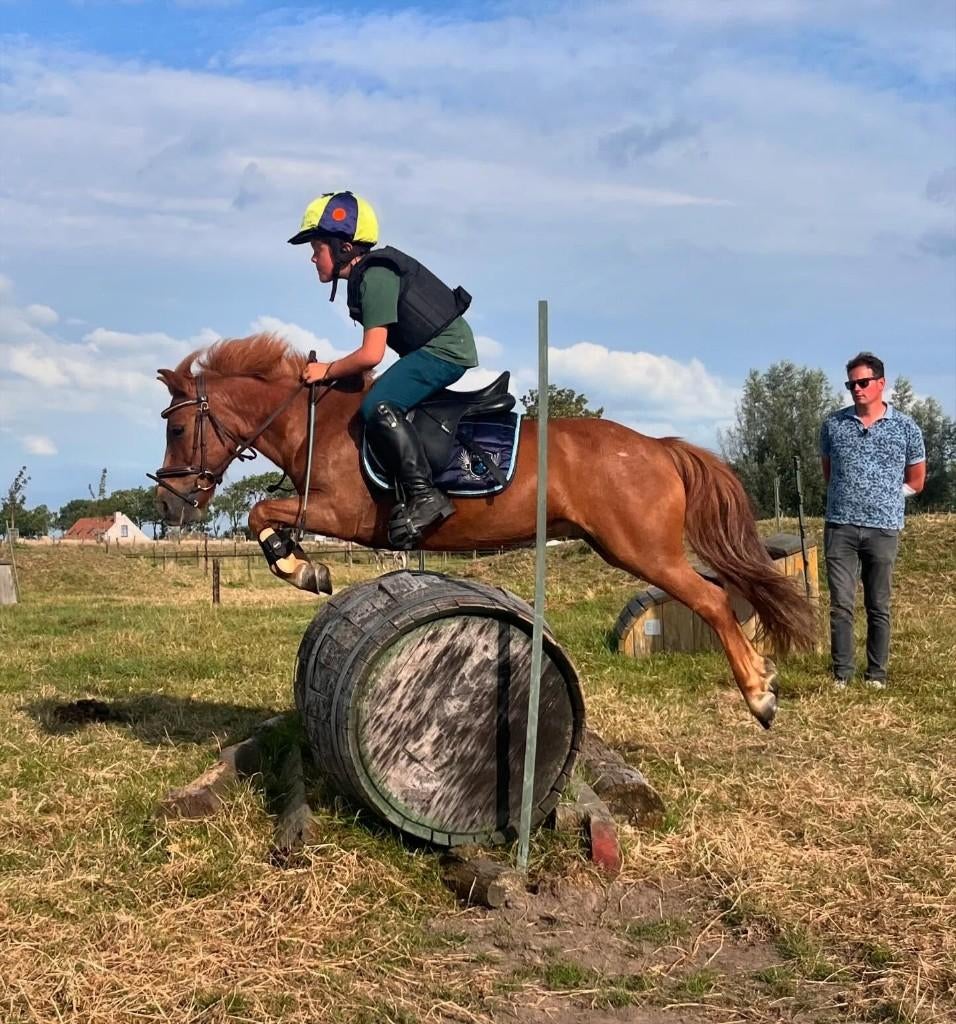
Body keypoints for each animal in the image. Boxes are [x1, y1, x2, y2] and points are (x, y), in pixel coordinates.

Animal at [152, 334, 817, 728]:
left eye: (178, 430)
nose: (170, 502)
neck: (316, 421)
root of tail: (657, 446)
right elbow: (264, 516)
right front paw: (302, 564)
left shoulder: (342, 513)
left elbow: (261, 513)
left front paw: (300, 567)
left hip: (644, 551)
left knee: (711, 599)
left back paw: (759, 693)